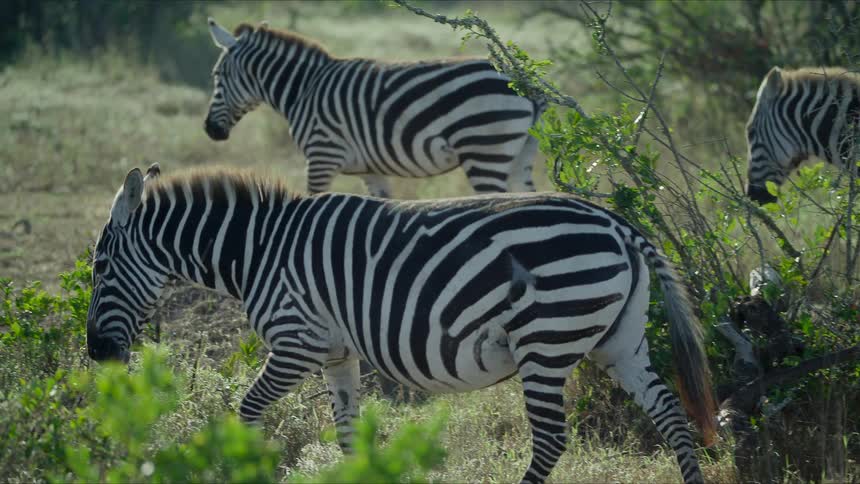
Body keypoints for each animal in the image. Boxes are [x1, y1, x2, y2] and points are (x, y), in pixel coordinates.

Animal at [87, 165, 717, 484]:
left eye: (98, 267)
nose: (97, 355)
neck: (259, 249)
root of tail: (618, 224)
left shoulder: (295, 341)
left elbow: (244, 413)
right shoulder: (336, 352)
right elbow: (345, 432)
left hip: (546, 341)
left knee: (551, 439)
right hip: (619, 341)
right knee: (670, 413)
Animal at [203, 18, 544, 198]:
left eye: (217, 76)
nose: (209, 130)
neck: (304, 89)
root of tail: (524, 82)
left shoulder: (322, 154)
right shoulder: (371, 170)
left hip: (484, 148)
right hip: (520, 154)